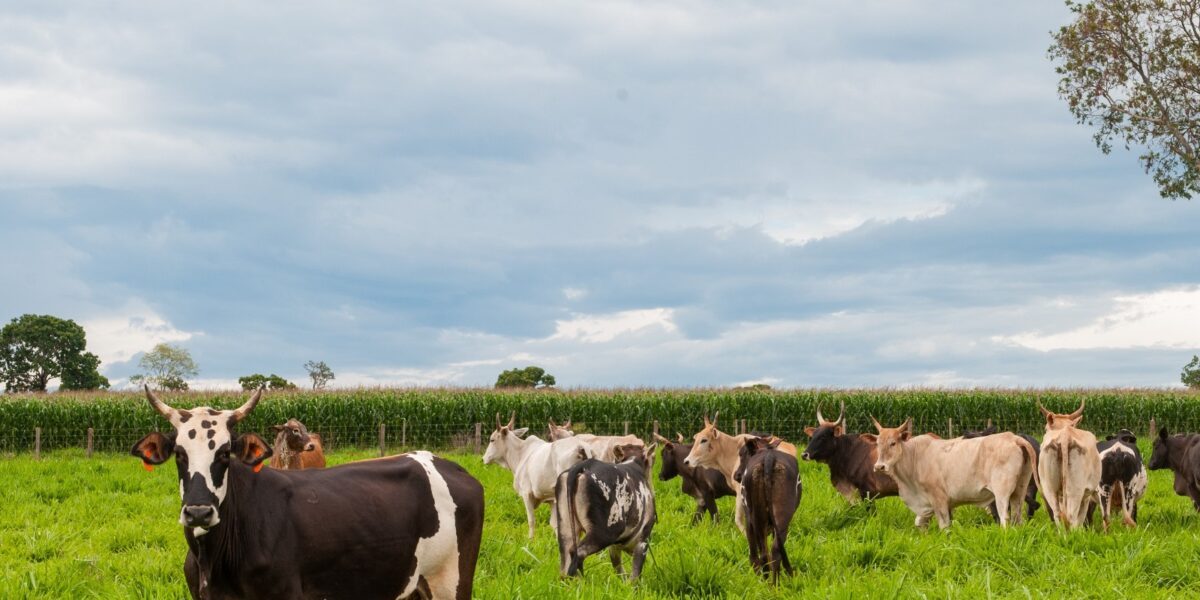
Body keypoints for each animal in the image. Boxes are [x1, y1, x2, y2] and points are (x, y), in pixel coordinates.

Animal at [132, 386, 482, 597]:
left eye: (225, 452)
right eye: (179, 454)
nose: (199, 512)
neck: (213, 559)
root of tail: (451, 466)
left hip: (451, 582)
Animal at [484, 412, 592, 540]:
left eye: (492, 440)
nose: (484, 458)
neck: (520, 454)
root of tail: (580, 447)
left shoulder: (527, 493)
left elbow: (531, 520)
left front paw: (530, 540)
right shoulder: (552, 499)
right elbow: (554, 524)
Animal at [552, 444, 657, 578]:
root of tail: (585, 465)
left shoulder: (614, 547)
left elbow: (621, 573)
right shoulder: (642, 542)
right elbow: (634, 576)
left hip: (566, 530)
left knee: (565, 566)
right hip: (604, 533)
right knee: (577, 554)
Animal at [868, 417, 1036, 530]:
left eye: (893, 443)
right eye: (878, 444)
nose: (879, 466)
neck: (914, 458)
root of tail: (1013, 438)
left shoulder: (939, 500)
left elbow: (944, 526)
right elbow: (920, 523)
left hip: (1002, 493)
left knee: (1004, 518)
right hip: (1019, 490)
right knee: (1017, 516)